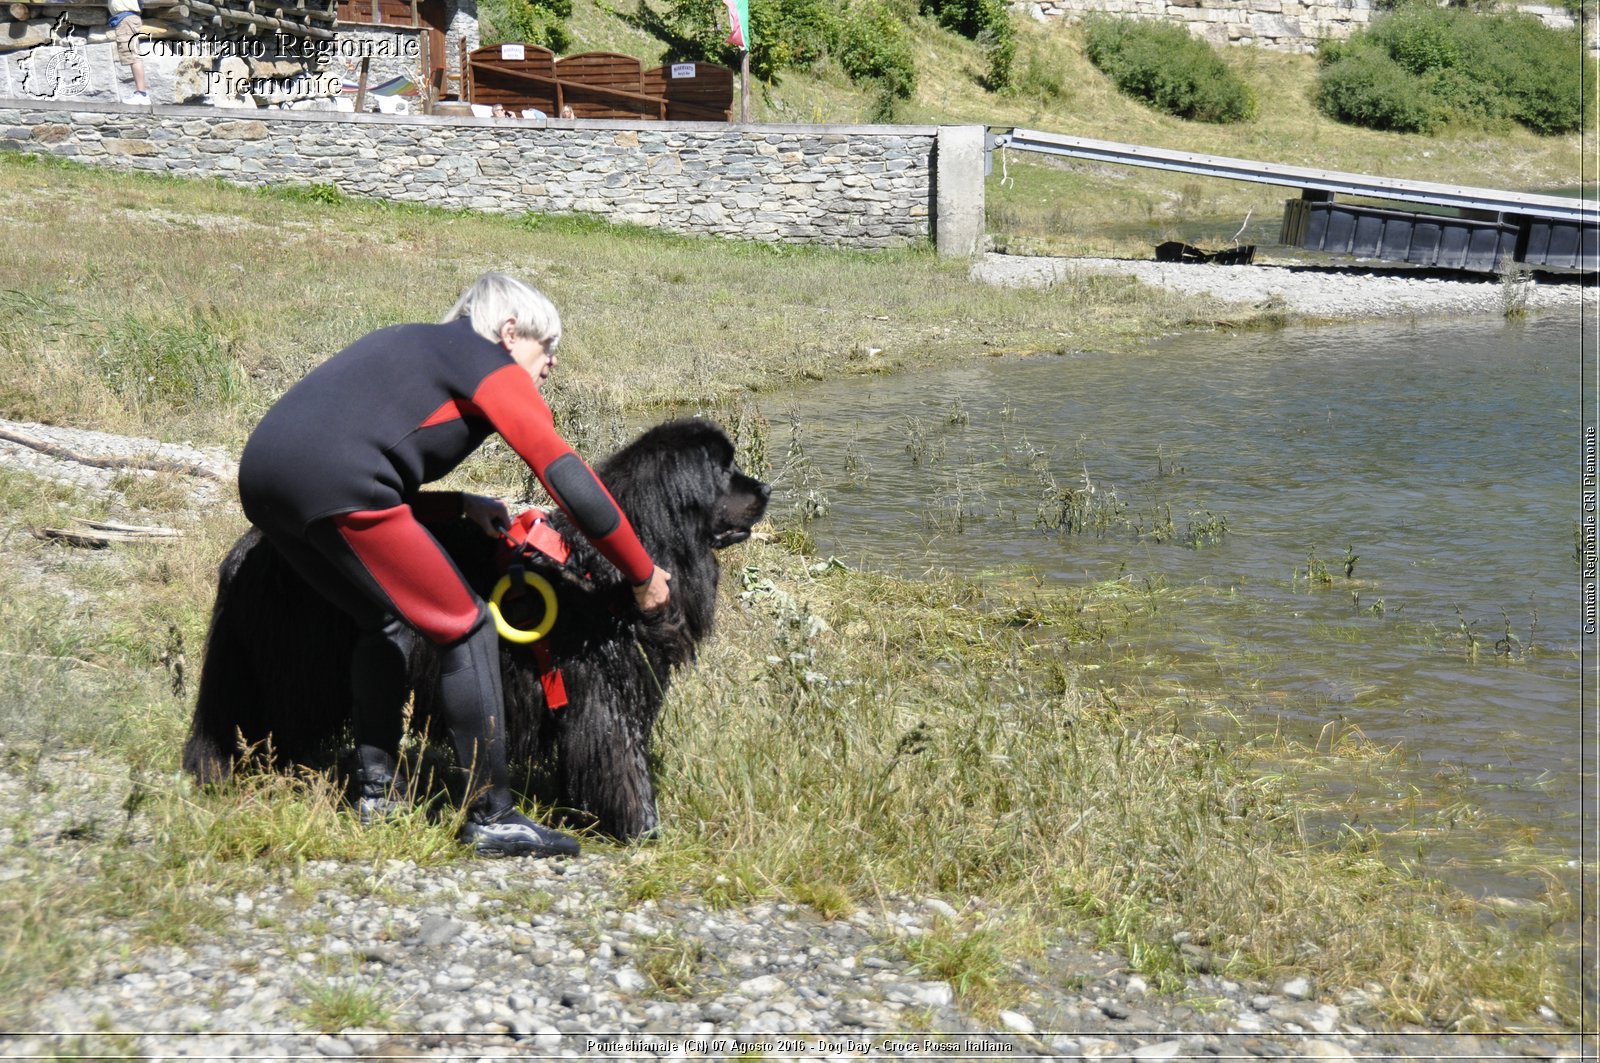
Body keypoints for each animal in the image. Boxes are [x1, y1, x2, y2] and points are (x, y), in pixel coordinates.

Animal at [181, 419, 768, 845]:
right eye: (725, 470)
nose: (765, 487)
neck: (607, 571)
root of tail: (246, 547)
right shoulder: (603, 696)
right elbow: (623, 763)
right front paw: (641, 830)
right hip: (299, 661)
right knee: (271, 718)